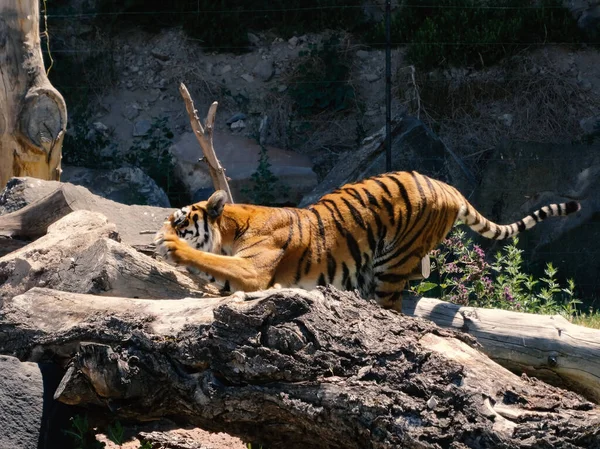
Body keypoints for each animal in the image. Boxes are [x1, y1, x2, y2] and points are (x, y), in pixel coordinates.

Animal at [156, 170, 580, 310]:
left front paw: (174, 249)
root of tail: (446, 186)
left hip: (391, 265)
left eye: (180, 220)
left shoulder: (254, 270)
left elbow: (213, 261)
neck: (231, 227)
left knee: (394, 305)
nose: (159, 236)